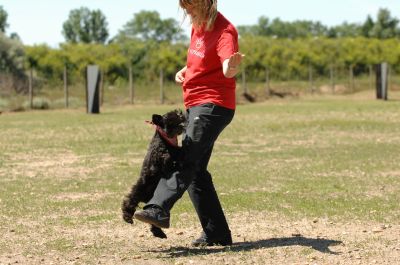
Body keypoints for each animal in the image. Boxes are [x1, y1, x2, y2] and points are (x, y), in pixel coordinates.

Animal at [121, 108, 185, 238]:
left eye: (178, 114)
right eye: (170, 120)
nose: (182, 116)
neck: (165, 140)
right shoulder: (162, 158)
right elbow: (171, 156)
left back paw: (159, 232)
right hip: (138, 190)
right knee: (129, 201)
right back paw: (127, 217)